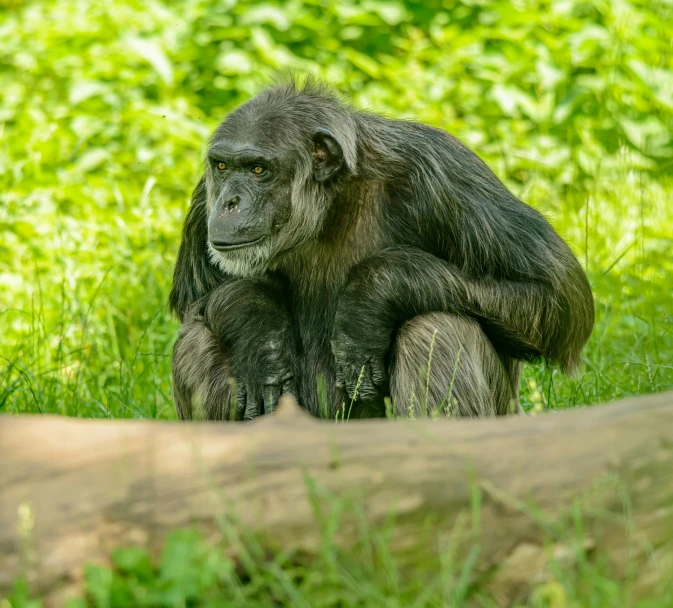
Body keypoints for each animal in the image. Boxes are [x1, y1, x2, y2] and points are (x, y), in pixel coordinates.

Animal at [168, 78, 592, 420]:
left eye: (258, 169)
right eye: (223, 166)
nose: (229, 202)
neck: (332, 203)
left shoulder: (446, 173)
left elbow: (558, 293)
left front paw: (369, 298)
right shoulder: (203, 201)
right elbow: (200, 301)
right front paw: (260, 338)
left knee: (436, 328)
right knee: (196, 342)